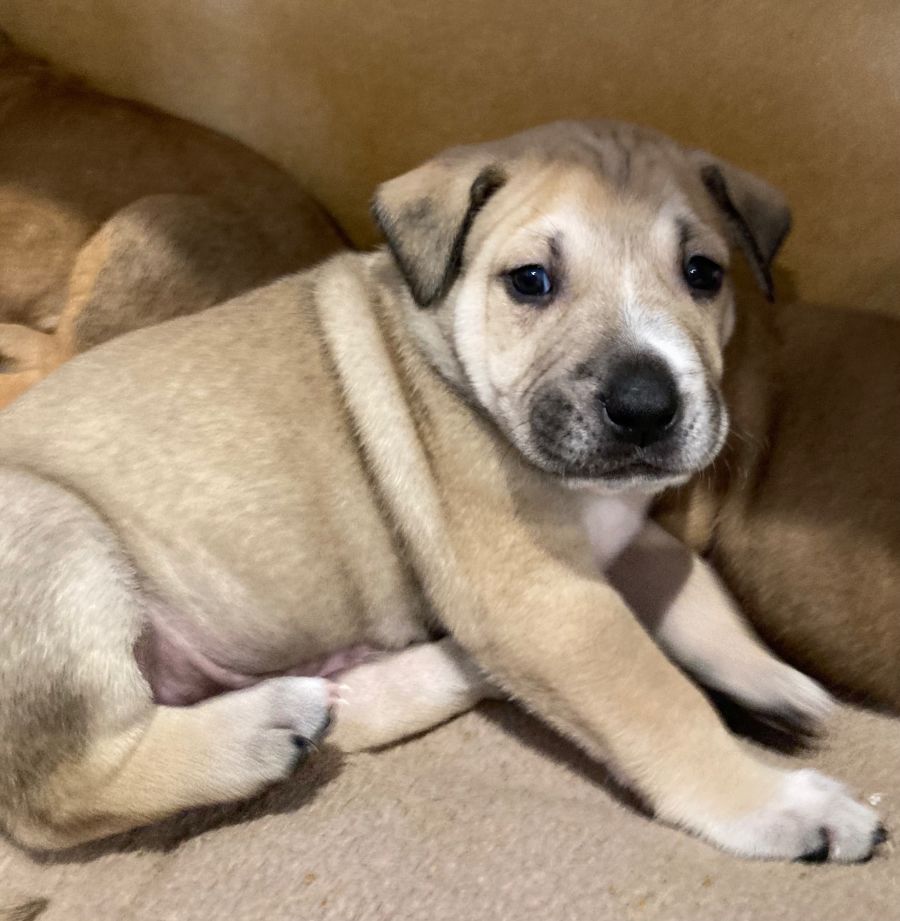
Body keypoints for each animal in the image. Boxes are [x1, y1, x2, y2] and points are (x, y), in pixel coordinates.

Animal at [0, 121, 883, 862]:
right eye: (531, 281)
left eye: (703, 273)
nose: (644, 407)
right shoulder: (547, 594)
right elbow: (656, 698)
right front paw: (782, 803)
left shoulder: (616, 529)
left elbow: (691, 581)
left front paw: (770, 673)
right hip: (62, 539)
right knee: (57, 793)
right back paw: (261, 729)